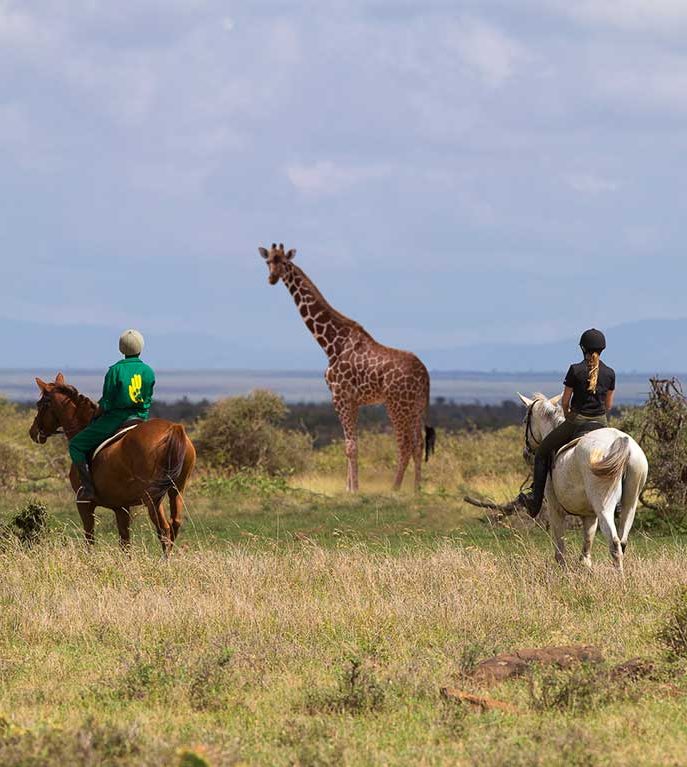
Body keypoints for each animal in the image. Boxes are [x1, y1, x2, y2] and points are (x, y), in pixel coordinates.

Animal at [29, 372, 196, 552]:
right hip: (176, 490)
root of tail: (173, 428)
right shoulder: (121, 507)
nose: (32, 432)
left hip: (152, 498)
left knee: (164, 530)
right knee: (174, 524)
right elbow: (125, 542)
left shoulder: (84, 504)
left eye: (40, 404)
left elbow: (89, 538)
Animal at [258, 244, 436, 492]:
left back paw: (395, 488)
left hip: (396, 403)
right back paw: (416, 489)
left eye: (284, 263)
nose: (272, 278)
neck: (331, 343)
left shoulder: (340, 395)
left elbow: (350, 446)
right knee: (418, 443)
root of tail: (425, 373)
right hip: (416, 405)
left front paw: (354, 489)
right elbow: (351, 444)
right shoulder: (353, 400)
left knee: (405, 444)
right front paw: (348, 487)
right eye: (268, 262)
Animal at [520, 392, 648, 572]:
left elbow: (560, 546)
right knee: (623, 541)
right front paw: (585, 567)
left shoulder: (554, 508)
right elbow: (587, 546)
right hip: (630, 503)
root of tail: (622, 442)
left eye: (525, 420)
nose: (526, 453)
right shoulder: (589, 515)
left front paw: (563, 570)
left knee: (614, 542)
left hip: (604, 505)